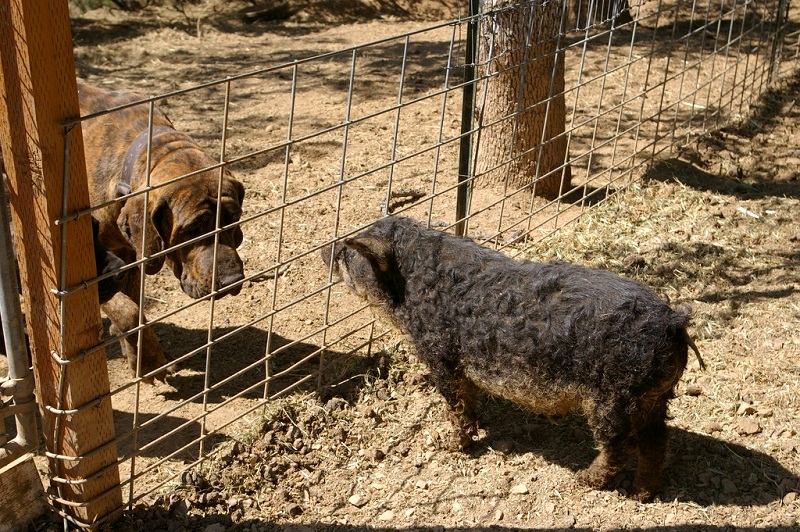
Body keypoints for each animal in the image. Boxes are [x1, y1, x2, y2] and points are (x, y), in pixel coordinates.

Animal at [322, 215, 704, 498]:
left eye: (350, 253)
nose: (327, 249)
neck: (412, 289)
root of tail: (673, 322)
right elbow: (469, 401)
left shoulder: (441, 355)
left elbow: (456, 406)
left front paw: (450, 445)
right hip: (654, 397)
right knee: (657, 441)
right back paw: (642, 494)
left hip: (614, 397)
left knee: (621, 446)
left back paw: (584, 481)